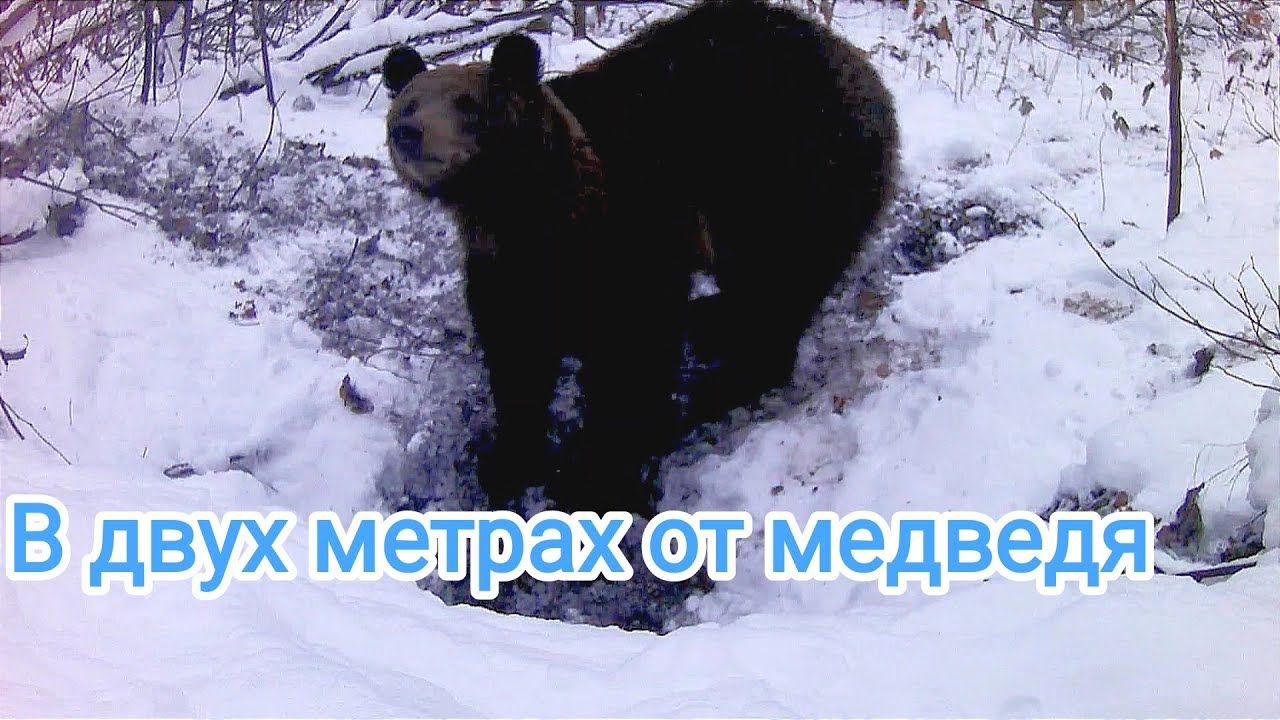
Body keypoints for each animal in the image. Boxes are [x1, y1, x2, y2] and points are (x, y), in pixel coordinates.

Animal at [382, 0, 899, 518]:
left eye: (467, 104)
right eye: (408, 102)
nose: (409, 132)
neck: (531, 209)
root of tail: (866, 72)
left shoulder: (634, 231)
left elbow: (631, 352)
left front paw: (593, 475)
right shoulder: (509, 265)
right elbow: (517, 351)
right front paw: (508, 458)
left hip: (790, 177)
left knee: (778, 288)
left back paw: (724, 380)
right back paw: (712, 323)